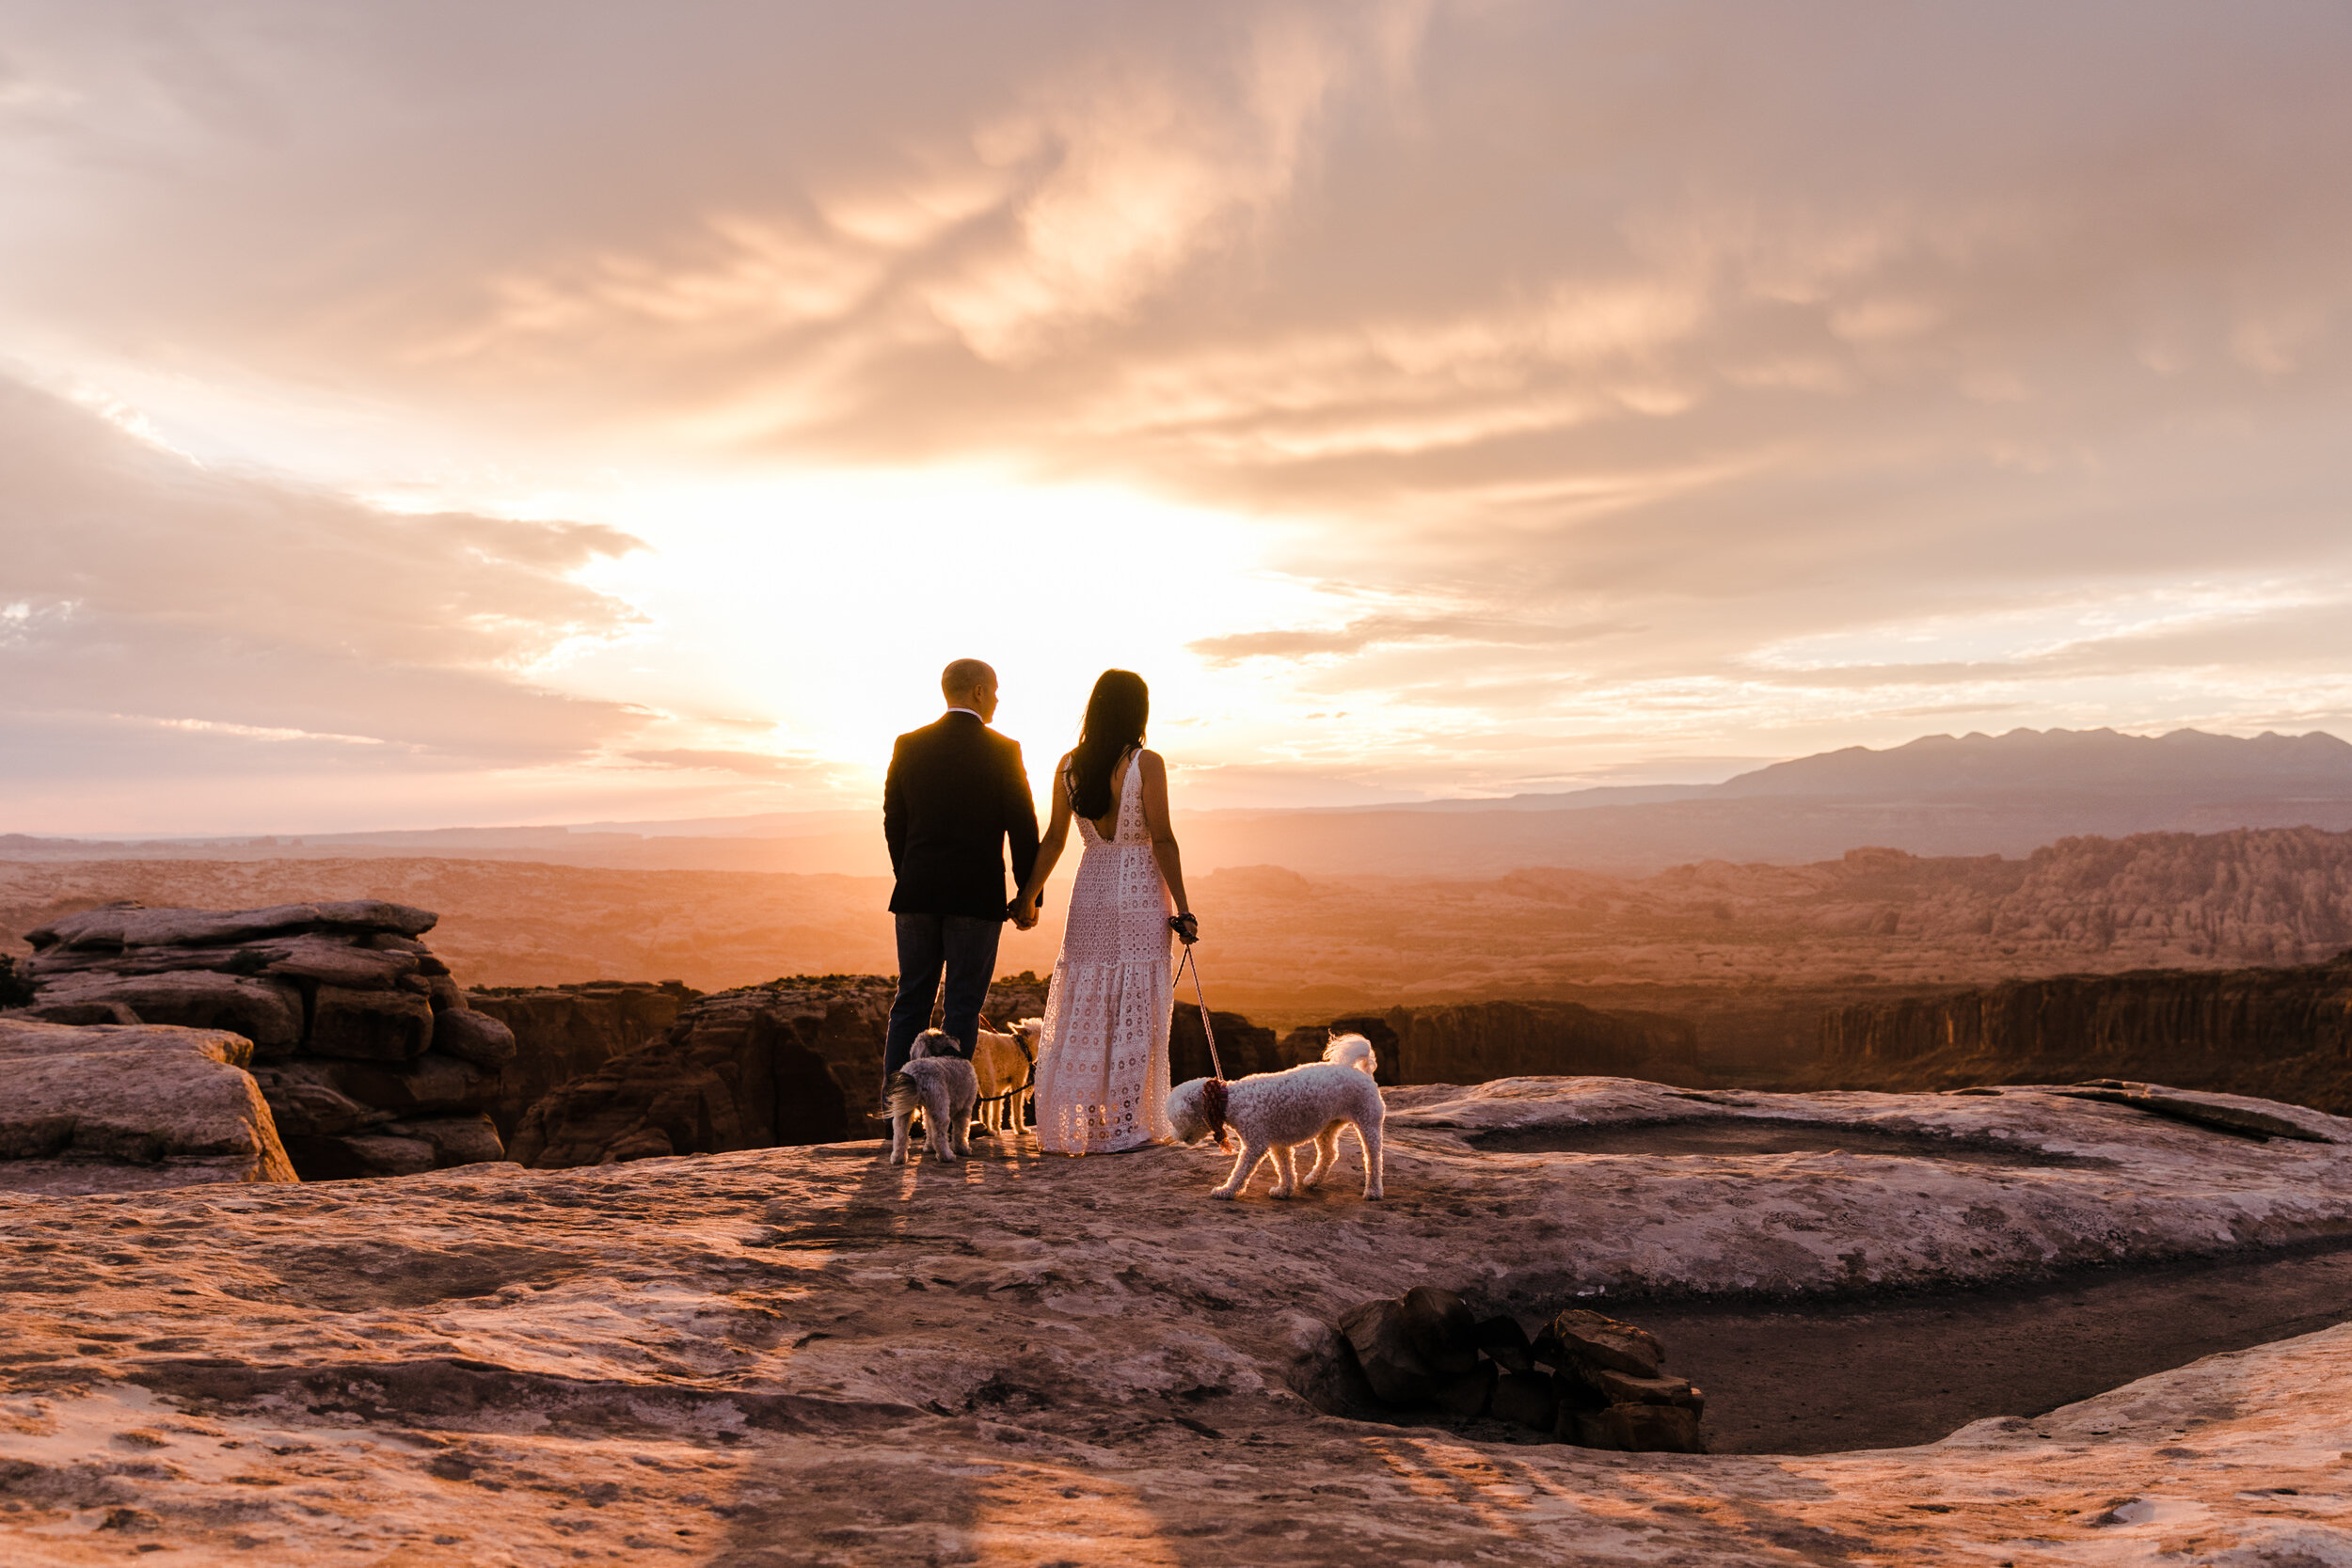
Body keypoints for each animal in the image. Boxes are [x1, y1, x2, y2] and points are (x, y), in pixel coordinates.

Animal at [889, 1029, 983, 1165]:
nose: (956, 1038)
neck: (951, 1053)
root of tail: (915, 1074)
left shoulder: (928, 1110)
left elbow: (928, 1128)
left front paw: (929, 1148)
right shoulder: (964, 1107)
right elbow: (961, 1131)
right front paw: (963, 1149)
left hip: (905, 1108)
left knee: (900, 1133)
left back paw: (898, 1158)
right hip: (940, 1105)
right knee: (939, 1134)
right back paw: (947, 1156)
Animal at [1171, 1029, 1383, 1203]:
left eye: (1175, 1121)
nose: (1174, 1137)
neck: (1228, 1100)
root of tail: (1363, 1073)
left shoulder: (1255, 1144)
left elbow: (1240, 1171)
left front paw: (1226, 1191)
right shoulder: (1278, 1144)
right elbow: (1285, 1168)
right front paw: (1284, 1190)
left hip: (1369, 1123)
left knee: (1373, 1159)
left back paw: (1373, 1191)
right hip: (1328, 1126)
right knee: (1329, 1154)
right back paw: (1313, 1180)